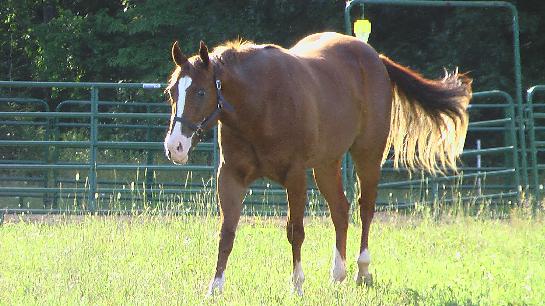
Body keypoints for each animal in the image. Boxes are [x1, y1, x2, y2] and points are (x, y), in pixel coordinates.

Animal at [164, 32, 470, 296]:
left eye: (201, 92)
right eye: (171, 92)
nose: (175, 146)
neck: (261, 104)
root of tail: (373, 57)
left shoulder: (295, 176)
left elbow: (295, 231)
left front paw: (297, 285)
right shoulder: (231, 177)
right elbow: (226, 233)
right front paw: (215, 288)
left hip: (367, 155)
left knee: (366, 208)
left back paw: (362, 271)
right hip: (326, 165)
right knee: (340, 210)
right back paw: (338, 274)